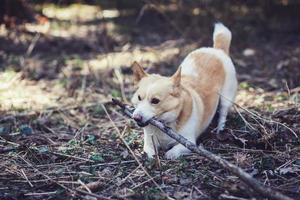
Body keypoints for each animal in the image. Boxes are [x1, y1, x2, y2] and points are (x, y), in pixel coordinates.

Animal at [131, 22, 237, 159]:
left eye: (155, 101)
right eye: (139, 98)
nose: (136, 118)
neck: (166, 123)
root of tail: (217, 50)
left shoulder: (189, 143)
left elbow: (173, 151)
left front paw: (169, 154)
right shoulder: (149, 140)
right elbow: (148, 150)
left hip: (226, 97)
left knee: (223, 112)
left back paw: (220, 129)